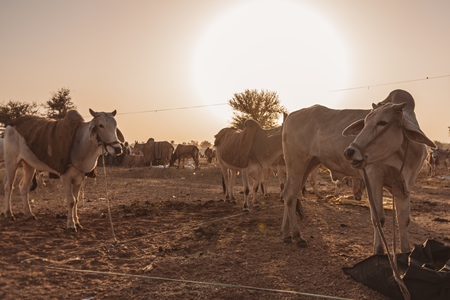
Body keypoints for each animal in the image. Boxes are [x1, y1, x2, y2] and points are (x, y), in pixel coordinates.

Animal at [282, 90, 436, 254]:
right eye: (365, 122)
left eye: (383, 122)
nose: (349, 151)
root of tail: (290, 116)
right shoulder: (373, 178)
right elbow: (378, 218)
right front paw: (378, 251)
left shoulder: (406, 184)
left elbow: (403, 220)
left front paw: (406, 252)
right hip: (297, 164)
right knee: (290, 196)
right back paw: (297, 236)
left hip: (309, 164)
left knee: (288, 193)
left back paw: (286, 234)